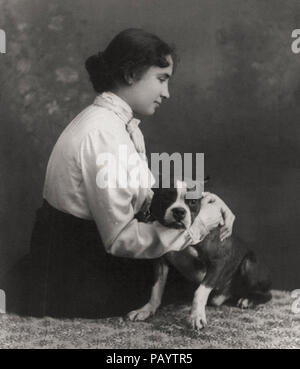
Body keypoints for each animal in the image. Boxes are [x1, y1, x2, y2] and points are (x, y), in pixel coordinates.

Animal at [127, 178, 274, 328]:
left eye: (192, 202)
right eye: (166, 197)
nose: (179, 211)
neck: (177, 233)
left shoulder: (218, 262)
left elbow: (200, 291)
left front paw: (196, 316)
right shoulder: (161, 263)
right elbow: (156, 288)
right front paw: (146, 309)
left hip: (248, 264)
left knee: (267, 294)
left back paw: (248, 300)